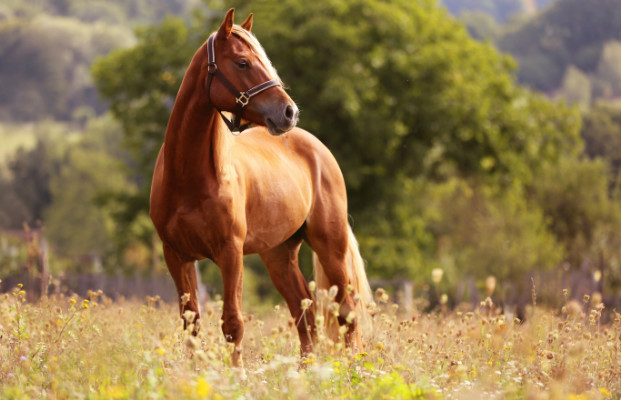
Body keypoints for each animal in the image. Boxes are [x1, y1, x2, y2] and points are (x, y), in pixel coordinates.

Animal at [149, 7, 372, 368]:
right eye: (242, 62)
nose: (289, 112)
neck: (188, 178)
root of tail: (316, 147)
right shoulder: (176, 256)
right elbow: (191, 324)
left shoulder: (230, 252)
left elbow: (232, 323)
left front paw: (236, 375)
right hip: (279, 255)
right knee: (305, 314)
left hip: (331, 246)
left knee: (346, 312)